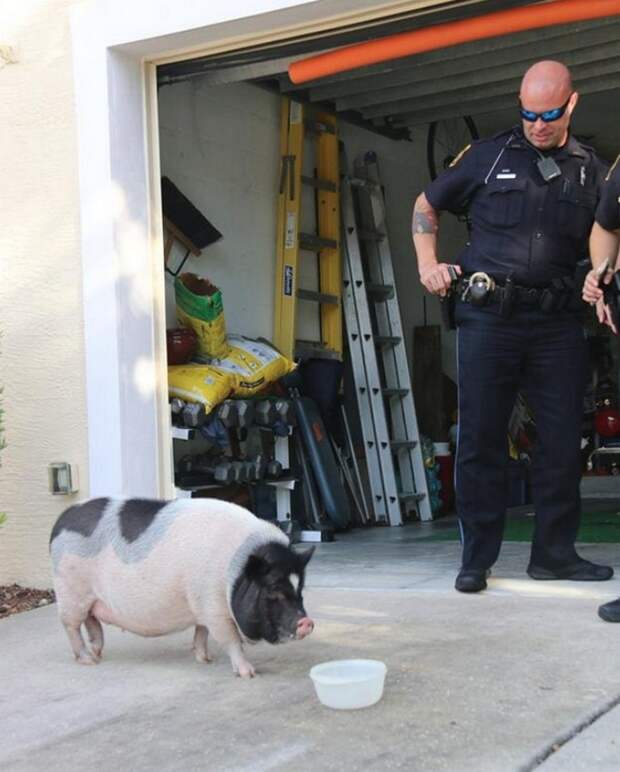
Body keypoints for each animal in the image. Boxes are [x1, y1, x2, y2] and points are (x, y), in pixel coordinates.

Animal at [48, 498, 314, 680]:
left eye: (300, 589)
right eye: (273, 589)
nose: (306, 622)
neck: (232, 574)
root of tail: (60, 522)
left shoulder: (201, 605)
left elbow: (201, 631)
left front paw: (205, 659)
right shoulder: (213, 607)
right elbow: (230, 639)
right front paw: (249, 673)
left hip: (89, 597)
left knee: (92, 621)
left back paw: (97, 653)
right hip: (71, 590)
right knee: (71, 625)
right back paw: (87, 661)